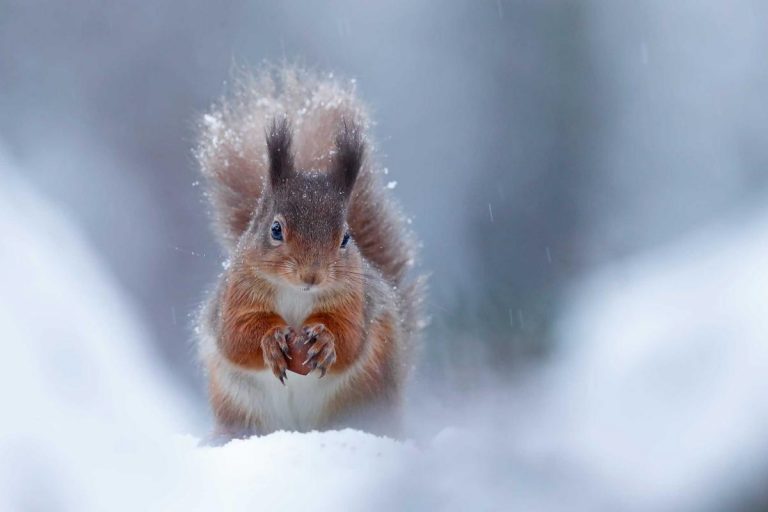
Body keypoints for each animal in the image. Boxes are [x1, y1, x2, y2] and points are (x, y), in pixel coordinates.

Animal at [194, 66, 426, 438]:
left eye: (345, 237)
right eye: (275, 230)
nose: (311, 275)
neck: (296, 294)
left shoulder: (356, 301)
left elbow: (350, 338)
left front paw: (326, 341)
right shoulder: (235, 297)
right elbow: (236, 336)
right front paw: (270, 339)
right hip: (242, 409)